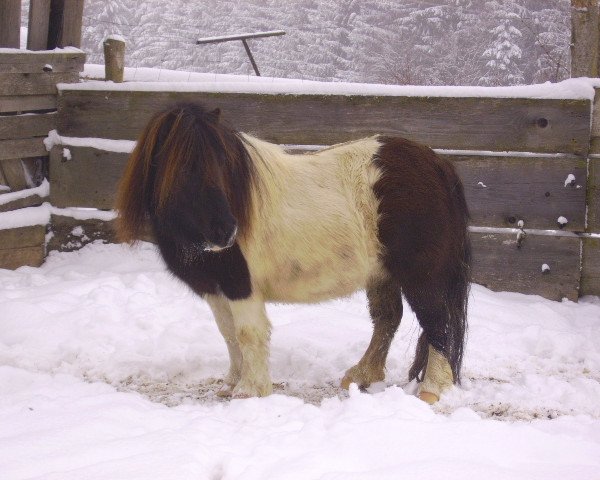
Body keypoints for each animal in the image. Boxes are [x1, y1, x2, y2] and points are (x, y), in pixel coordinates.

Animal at [117, 103, 472, 404]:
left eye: (225, 164)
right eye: (183, 169)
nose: (227, 231)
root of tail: (437, 164)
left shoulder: (240, 285)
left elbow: (247, 333)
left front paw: (250, 390)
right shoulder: (215, 289)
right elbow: (229, 334)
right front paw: (231, 383)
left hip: (421, 276)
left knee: (438, 323)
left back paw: (430, 391)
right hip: (382, 274)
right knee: (387, 318)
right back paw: (361, 375)